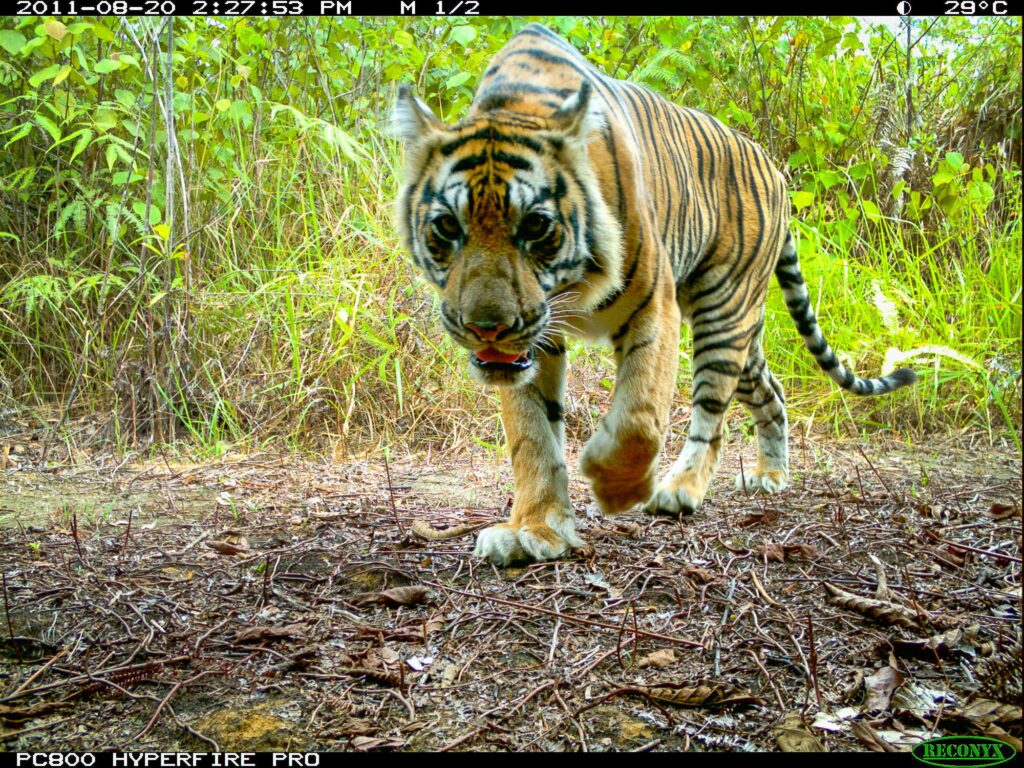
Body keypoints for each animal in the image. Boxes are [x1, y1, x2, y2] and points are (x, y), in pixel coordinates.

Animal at [392, 23, 917, 566]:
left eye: (535, 226)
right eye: (447, 227)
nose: (486, 328)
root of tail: (774, 170)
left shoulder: (654, 305)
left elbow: (639, 417)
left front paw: (614, 486)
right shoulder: (532, 345)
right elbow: (532, 436)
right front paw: (534, 529)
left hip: (722, 312)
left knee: (711, 414)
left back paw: (678, 491)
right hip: (745, 337)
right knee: (771, 393)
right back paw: (771, 475)